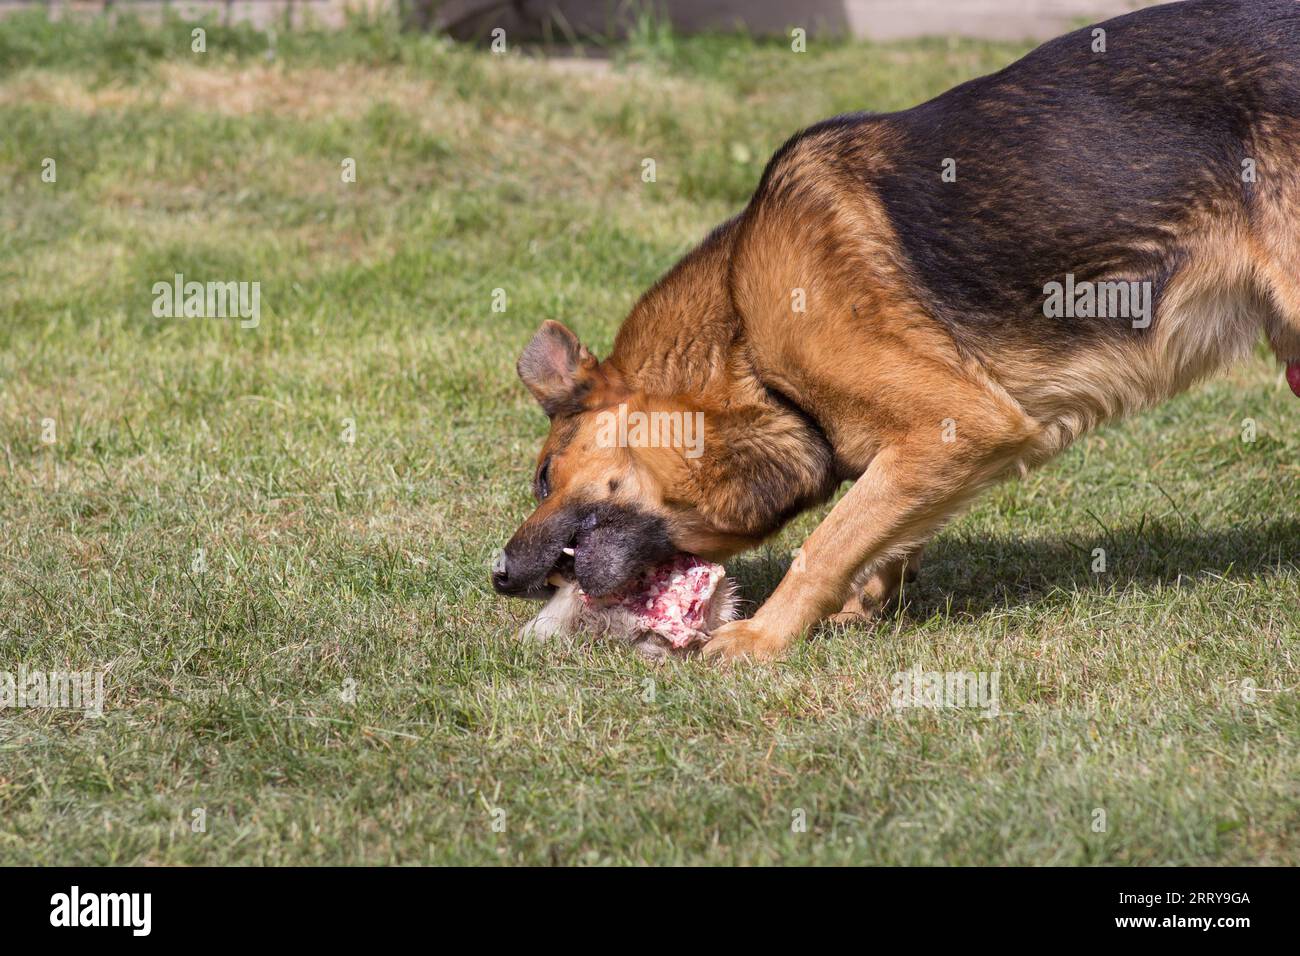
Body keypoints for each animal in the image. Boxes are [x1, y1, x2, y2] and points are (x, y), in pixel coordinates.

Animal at [491, 0, 1300, 658]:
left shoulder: (962, 420)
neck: (746, 341)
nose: (497, 576)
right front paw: (862, 600)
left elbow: (827, 540)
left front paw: (762, 637)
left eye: (543, 477)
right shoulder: (938, 449)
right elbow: (882, 527)